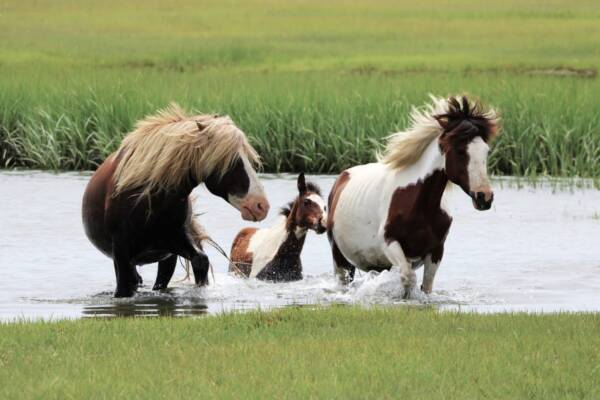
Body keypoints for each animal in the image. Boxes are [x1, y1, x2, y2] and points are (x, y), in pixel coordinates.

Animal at [82, 103, 270, 296]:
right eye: (232, 161)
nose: (261, 205)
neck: (147, 202)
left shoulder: (175, 242)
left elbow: (200, 260)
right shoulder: (121, 253)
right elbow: (125, 286)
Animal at [326, 96, 500, 296]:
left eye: (486, 151)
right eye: (459, 150)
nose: (484, 197)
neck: (420, 204)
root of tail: (342, 178)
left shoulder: (436, 251)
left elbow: (427, 285)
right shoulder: (390, 243)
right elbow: (408, 278)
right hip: (340, 258)